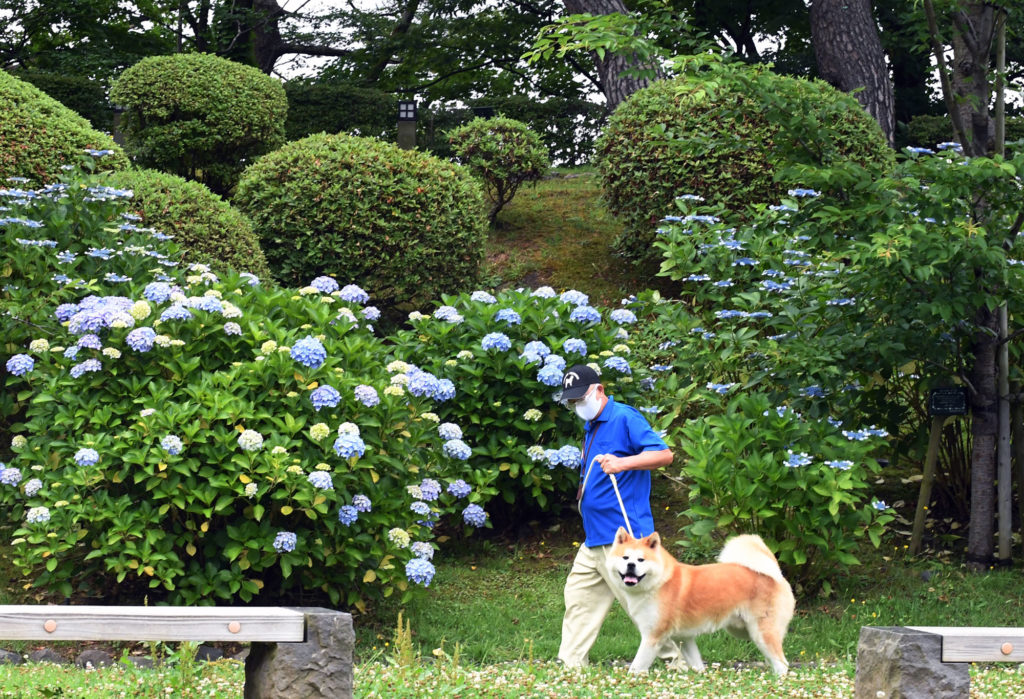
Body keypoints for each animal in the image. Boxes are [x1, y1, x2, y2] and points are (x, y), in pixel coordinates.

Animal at [606, 528, 790, 675]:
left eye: (641, 560)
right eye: (625, 557)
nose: (630, 565)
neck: (658, 583)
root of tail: (777, 574)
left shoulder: (652, 637)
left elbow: (636, 667)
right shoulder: (684, 638)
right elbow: (696, 664)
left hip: (761, 633)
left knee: (782, 663)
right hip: (745, 631)